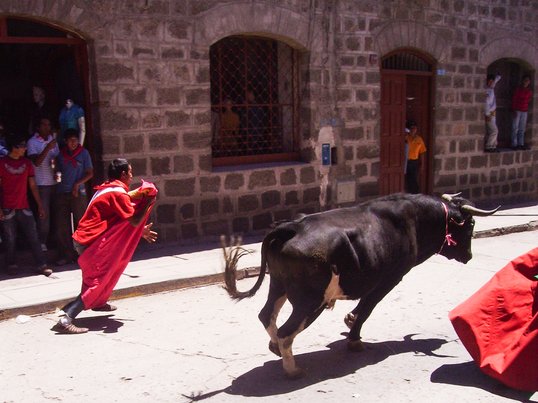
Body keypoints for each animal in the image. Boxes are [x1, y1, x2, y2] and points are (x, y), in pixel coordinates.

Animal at [220, 193, 496, 378]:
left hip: (278, 285)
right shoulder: (389, 278)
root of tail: (291, 227)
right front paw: (354, 338)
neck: (414, 220)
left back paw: (275, 349)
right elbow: (366, 309)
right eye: (471, 224)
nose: (469, 256)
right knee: (287, 330)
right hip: (310, 300)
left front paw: (350, 324)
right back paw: (293, 370)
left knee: (267, 315)